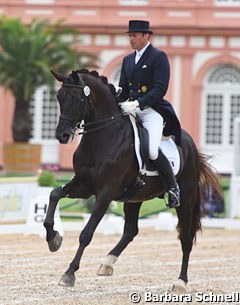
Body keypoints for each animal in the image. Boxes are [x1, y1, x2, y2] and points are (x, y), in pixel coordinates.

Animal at [43, 69, 221, 290]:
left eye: (77, 99)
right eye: (59, 97)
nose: (62, 135)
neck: (102, 136)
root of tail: (190, 144)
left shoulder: (105, 193)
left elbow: (86, 233)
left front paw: (69, 274)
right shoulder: (84, 185)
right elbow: (54, 194)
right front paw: (54, 239)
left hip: (186, 199)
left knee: (186, 238)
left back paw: (180, 282)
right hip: (134, 198)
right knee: (131, 231)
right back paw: (107, 263)